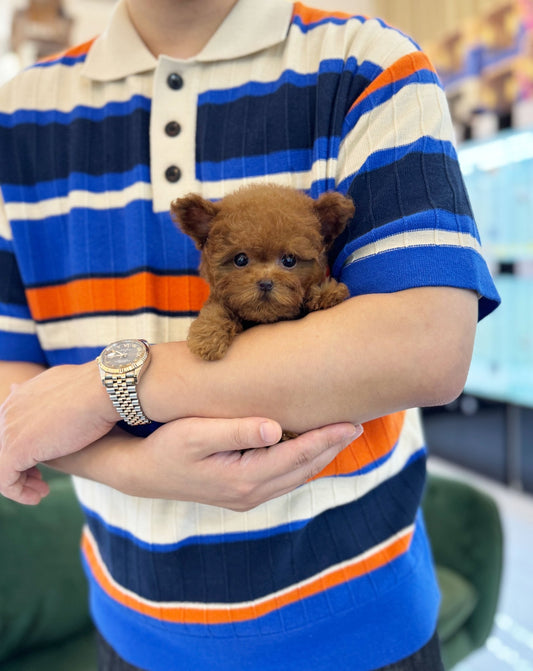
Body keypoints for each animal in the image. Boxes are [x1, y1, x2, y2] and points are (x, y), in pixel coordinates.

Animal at [170, 182, 354, 362]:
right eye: (240, 259)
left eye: (289, 260)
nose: (265, 283)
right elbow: (216, 309)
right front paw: (208, 335)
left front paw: (326, 293)